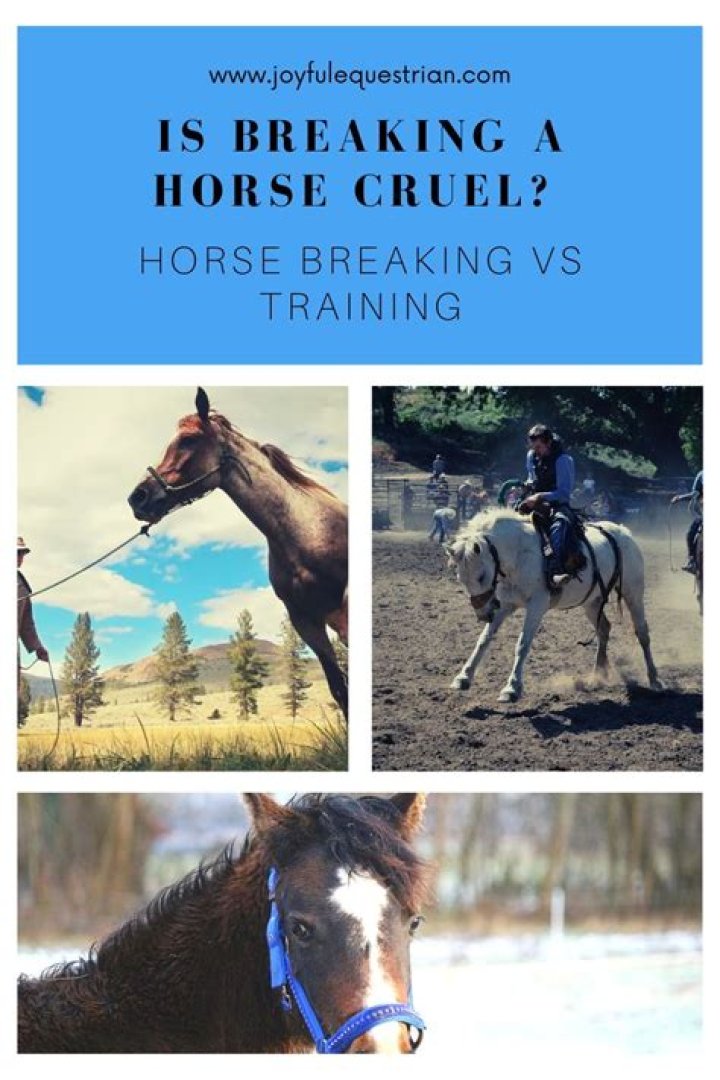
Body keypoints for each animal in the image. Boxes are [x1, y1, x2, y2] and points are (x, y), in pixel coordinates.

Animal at [446, 508, 662, 703]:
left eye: (481, 576)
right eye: (460, 578)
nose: (483, 614)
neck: (519, 555)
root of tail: (623, 532)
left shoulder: (537, 605)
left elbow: (522, 644)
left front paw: (512, 688)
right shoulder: (505, 605)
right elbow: (484, 639)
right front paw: (463, 678)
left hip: (633, 592)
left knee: (642, 633)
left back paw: (654, 679)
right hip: (592, 602)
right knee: (604, 629)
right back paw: (597, 676)